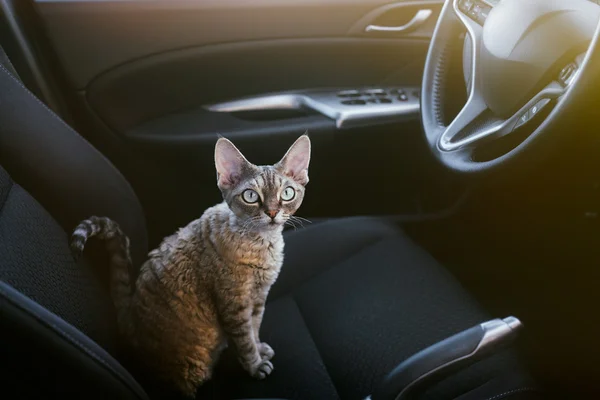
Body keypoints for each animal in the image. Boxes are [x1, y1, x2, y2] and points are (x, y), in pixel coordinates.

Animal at [69, 134, 312, 396]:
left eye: (287, 193)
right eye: (250, 196)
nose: (272, 212)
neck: (262, 245)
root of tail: (130, 320)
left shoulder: (258, 297)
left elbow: (255, 327)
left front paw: (260, 348)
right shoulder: (233, 305)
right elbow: (244, 340)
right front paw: (255, 365)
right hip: (188, 369)